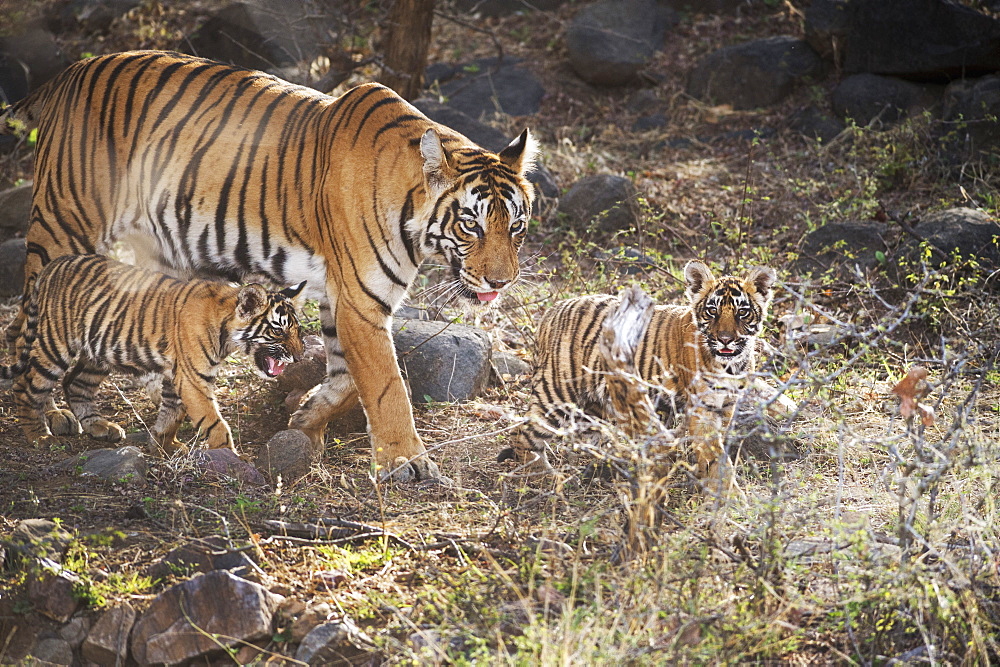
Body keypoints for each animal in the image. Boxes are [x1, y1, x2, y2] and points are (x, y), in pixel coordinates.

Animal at [1, 49, 540, 482]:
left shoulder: (340, 299)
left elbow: (347, 378)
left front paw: (306, 421)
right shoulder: (361, 303)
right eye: (471, 225)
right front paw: (406, 461)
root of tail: (71, 71)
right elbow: (387, 386)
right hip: (62, 225)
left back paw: (107, 417)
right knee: (27, 325)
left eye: (516, 226)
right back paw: (45, 416)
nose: (502, 281)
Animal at [504, 260, 776, 496]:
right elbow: (716, 457)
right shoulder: (703, 409)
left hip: (595, 402)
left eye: (742, 313)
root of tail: (552, 310)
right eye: (712, 311)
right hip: (558, 394)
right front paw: (729, 497)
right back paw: (544, 478)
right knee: (523, 433)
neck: (731, 364)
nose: (725, 339)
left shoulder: (726, 406)